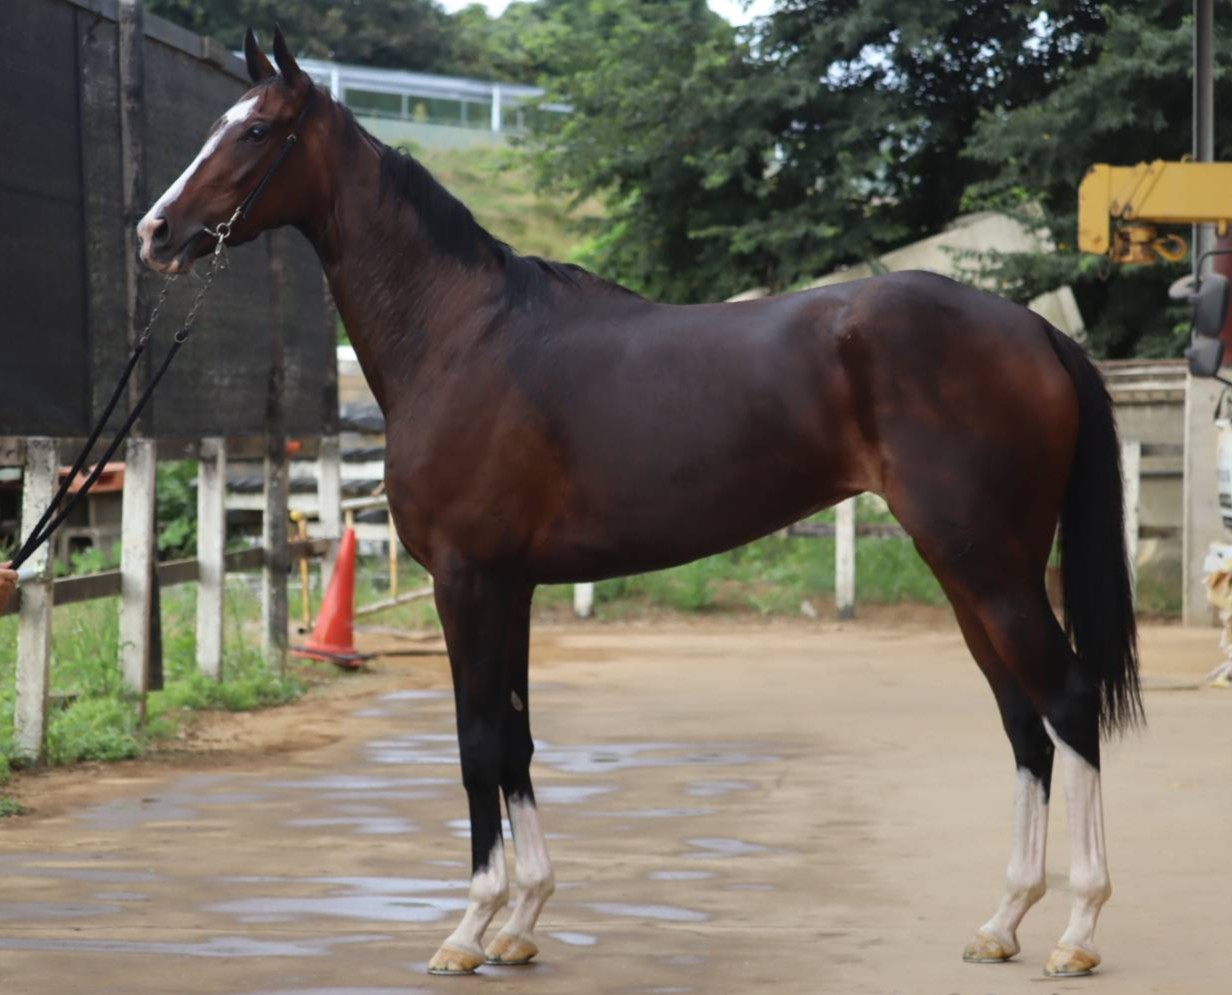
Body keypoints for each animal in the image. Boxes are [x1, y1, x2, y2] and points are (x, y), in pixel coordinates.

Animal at [136, 28, 1141, 979]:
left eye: (255, 132)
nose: (155, 232)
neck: (459, 334)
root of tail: (1036, 330)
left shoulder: (467, 579)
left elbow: (475, 741)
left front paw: (468, 930)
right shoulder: (512, 586)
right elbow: (517, 739)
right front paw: (523, 921)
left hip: (986, 563)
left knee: (1067, 698)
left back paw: (1080, 931)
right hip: (972, 569)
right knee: (1023, 719)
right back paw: (1003, 922)